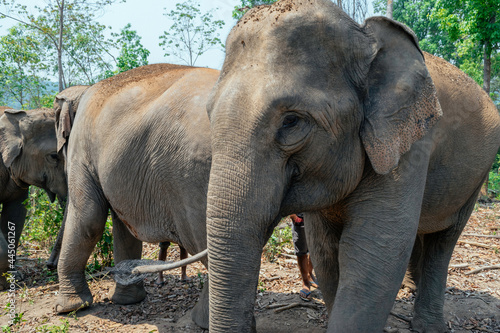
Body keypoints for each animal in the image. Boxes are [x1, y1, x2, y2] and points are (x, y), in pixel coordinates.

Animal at [55, 61, 216, 326]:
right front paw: (127, 301)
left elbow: (88, 219)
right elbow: (124, 229)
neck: (83, 89)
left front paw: (67, 309)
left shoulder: (82, 146)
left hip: (194, 175)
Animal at [203, 1, 500, 330]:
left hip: (478, 174)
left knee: (444, 241)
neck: (365, 39)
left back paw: (428, 325)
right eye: (209, 113)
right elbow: (325, 251)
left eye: (291, 121)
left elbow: (373, 253)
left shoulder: (408, 145)